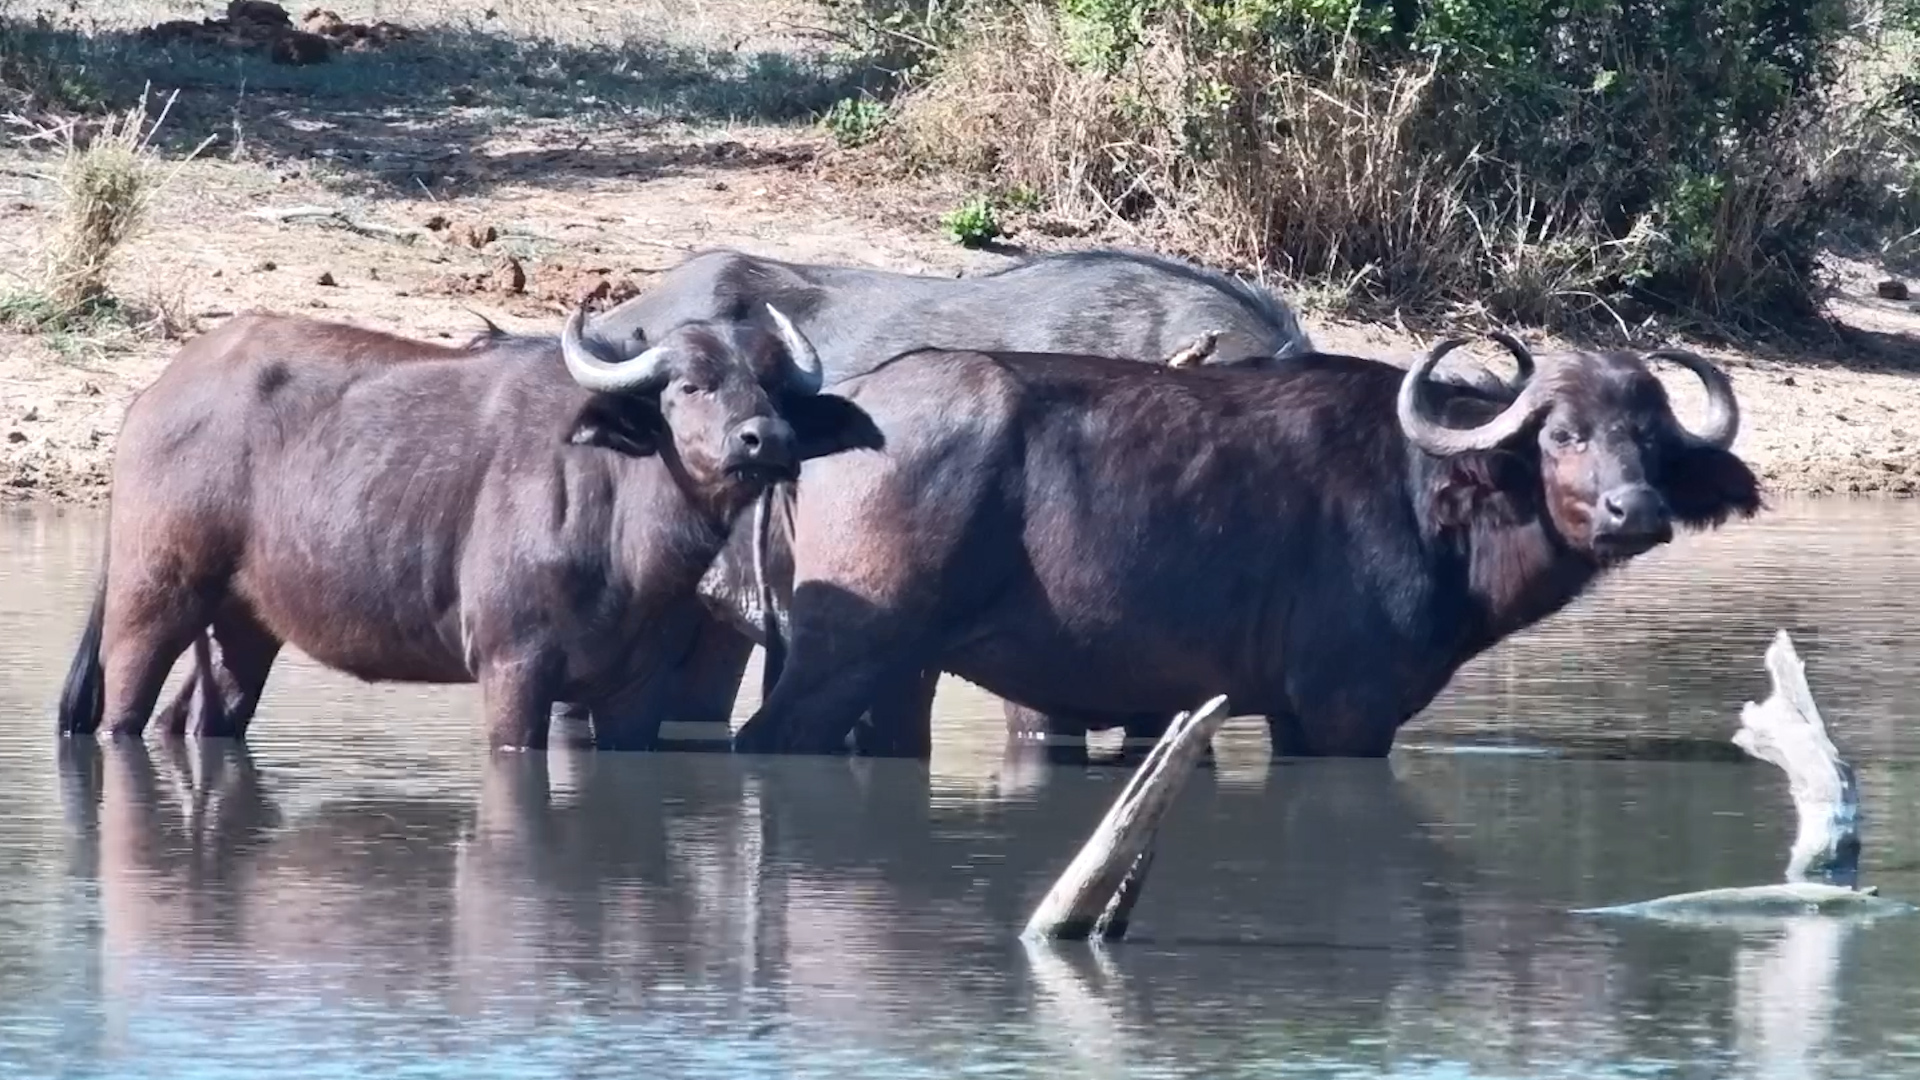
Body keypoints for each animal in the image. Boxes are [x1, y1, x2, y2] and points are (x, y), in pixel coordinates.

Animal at [55, 303, 873, 750]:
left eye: (772, 387)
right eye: (692, 385)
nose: (767, 440)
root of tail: (153, 397)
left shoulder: (636, 696)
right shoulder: (514, 671)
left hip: (242, 623)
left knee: (201, 716)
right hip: (150, 602)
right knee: (122, 715)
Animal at [722, 335, 1764, 759]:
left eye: (1654, 442)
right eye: (1564, 436)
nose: (1637, 511)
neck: (1429, 497)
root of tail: (839, 414)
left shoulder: (1300, 716)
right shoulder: (1348, 710)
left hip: (902, 671)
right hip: (844, 657)